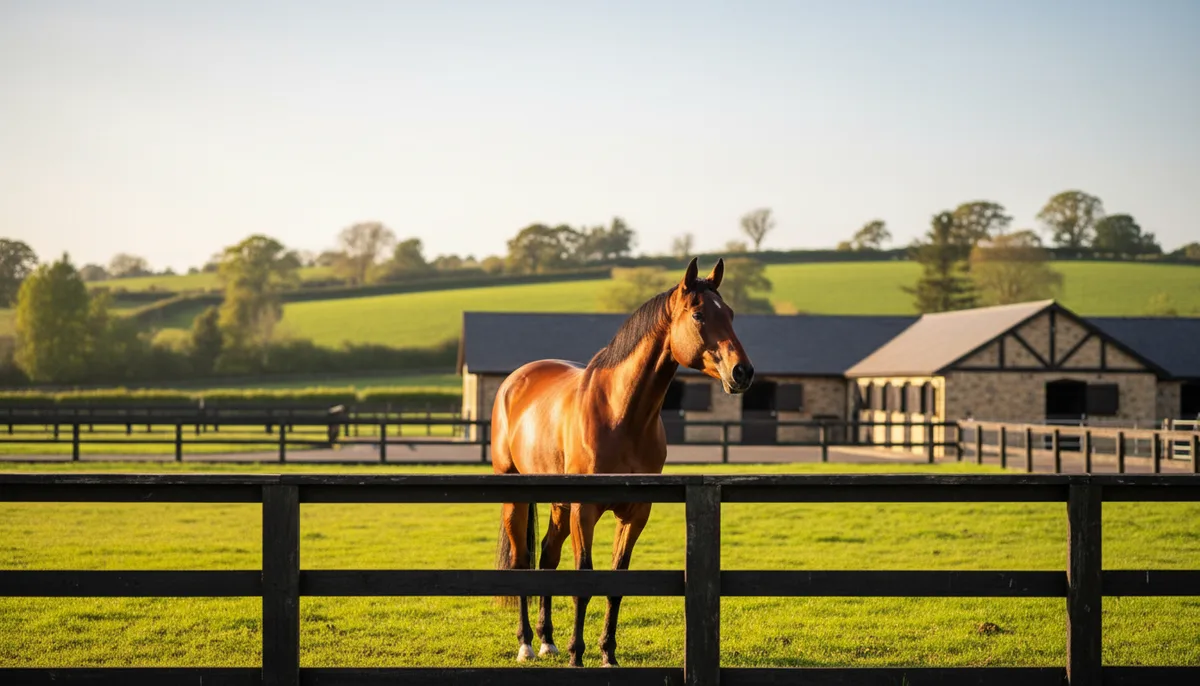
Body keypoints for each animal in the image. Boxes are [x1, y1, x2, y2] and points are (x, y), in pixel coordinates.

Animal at [490, 257, 755, 667]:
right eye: (698, 315)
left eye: (728, 313)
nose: (742, 372)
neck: (620, 413)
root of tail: (514, 381)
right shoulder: (585, 509)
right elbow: (584, 582)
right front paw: (577, 657)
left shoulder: (636, 512)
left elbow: (617, 582)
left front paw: (607, 656)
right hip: (516, 498)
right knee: (522, 564)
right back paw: (527, 645)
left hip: (558, 504)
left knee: (547, 558)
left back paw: (547, 641)